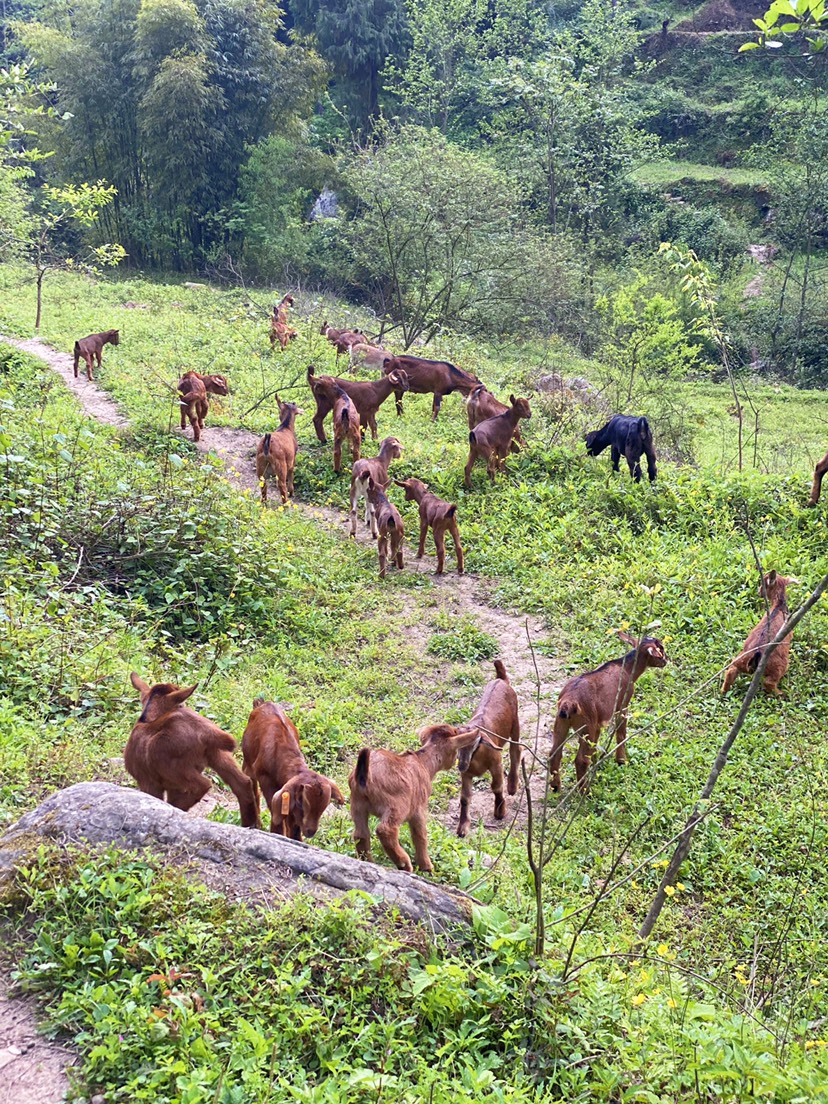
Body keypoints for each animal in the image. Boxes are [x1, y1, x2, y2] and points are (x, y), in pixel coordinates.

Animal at [124, 666, 256, 825]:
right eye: (181, 704)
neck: (147, 719)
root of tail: (205, 732)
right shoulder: (174, 787)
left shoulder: (147, 781)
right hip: (217, 754)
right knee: (243, 783)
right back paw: (251, 825)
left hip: (171, 765)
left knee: (204, 784)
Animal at [241, 697, 344, 834]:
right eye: (301, 804)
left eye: (323, 807)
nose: (310, 831)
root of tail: (262, 703)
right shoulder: (266, 780)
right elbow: (276, 813)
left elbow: (292, 821)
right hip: (247, 761)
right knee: (252, 786)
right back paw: (256, 823)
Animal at [348, 724, 479, 869]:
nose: (455, 762)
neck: (423, 763)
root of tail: (364, 775)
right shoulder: (419, 808)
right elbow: (420, 835)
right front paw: (427, 867)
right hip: (397, 806)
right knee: (385, 830)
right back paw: (404, 863)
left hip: (357, 803)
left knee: (360, 834)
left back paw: (369, 862)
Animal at [454, 653, 518, 834]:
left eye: (475, 744)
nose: (461, 765)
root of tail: (501, 679)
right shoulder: (466, 774)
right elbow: (464, 798)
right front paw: (462, 828)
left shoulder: (496, 763)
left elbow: (496, 787)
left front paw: (500, 812)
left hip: (515, 723)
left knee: (515, 751)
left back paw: (512, 786)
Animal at [547, 635, 671, 799]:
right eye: (661, 649)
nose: (666, 660)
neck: (627, 668)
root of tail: (568, 701)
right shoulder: (622, 704)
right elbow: (621, 733)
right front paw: (621, 761)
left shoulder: (598, 722)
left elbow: (595, 743)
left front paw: (596, 761)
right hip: (587, 724)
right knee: (580, 760)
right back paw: (586, 792)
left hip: (562, 722)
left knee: (554, 753)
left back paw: (555, 787)